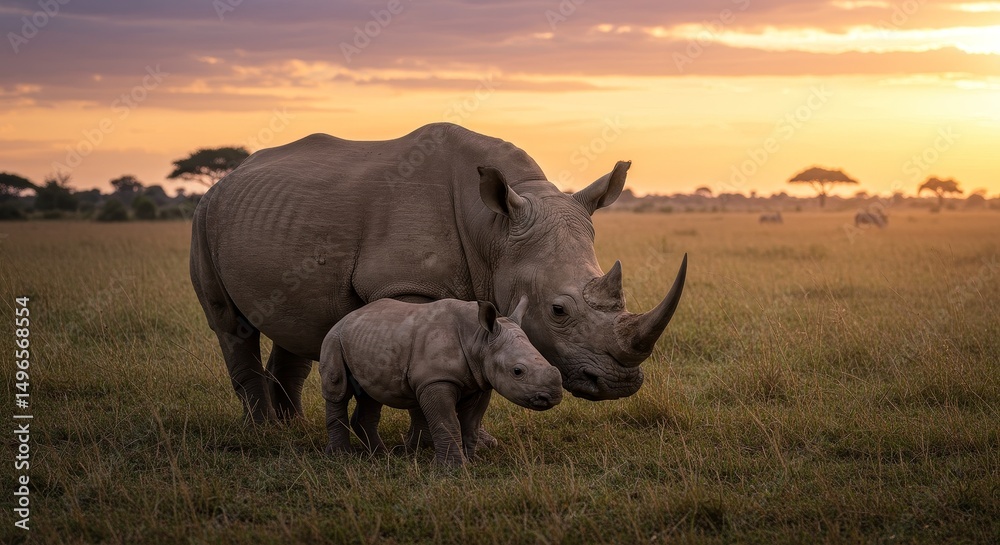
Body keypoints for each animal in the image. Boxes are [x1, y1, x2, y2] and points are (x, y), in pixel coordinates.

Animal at [190, 122, 687, 426]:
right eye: (558, 310)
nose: (620, 384)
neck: (494, 228)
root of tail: (227, 178)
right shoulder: (406, 286)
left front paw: (479, 441)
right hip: (203, 217)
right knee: (230, 325)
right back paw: (265, 433)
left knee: (299, 324)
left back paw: (290, 427)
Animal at [319, 297, 562, 465]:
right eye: (517, 371)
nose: (553, 396)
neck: (479, 339)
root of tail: (347, 316)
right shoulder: (435, 380)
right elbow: (447, 422)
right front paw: (453, 468)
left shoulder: (480, 381)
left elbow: (472, 423)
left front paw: (473, 461)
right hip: (334, 337)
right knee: (338, 389)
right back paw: (342, 456)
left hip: (368, 338)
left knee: (371, 394)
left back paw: (381, 455)